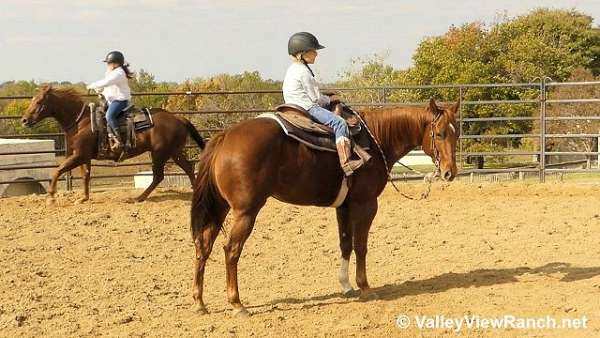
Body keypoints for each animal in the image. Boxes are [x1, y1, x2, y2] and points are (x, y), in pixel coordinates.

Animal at [21, 86, 205, 205]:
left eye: (39, 102)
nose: (24, 120)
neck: (81, 122)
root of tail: (178, 118)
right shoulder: (83, 157)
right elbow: (85, 175)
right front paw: (83, 198)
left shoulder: (78, 156)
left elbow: (57, 170)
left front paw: (51, 197)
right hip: (174, 152)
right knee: (188, 168)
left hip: (159, 153)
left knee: (159, 176)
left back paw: (138, 198)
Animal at [192, 98, 460, 316]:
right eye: (439, 133)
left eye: (456, 134)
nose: (450, 173)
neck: (377, 139)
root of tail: (225, 136)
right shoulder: (365, 204)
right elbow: (360, 246)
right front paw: (365, 287)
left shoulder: (344, 206)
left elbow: (345, 243)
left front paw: (346, 285)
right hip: (246, 211)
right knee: (231, 250)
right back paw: (237, 304)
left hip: (221, 208)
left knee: (203, 245)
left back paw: (200, 302)